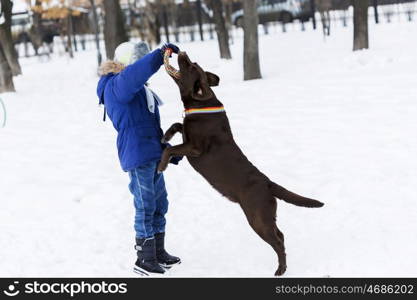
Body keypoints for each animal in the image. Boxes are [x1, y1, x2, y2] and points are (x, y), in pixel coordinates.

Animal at [158, 51, 324, 276]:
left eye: (190, 66)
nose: (182, 52)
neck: (201, 103)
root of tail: (268, 183)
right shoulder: (187, 135)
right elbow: (177, 125)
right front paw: (166, 135)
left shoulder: (195, 148)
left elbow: (170, 149)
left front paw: (161, 165)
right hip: (265, 217)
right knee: (281, 235)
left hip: (258, 218)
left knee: (278, 241)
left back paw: (280, 269)